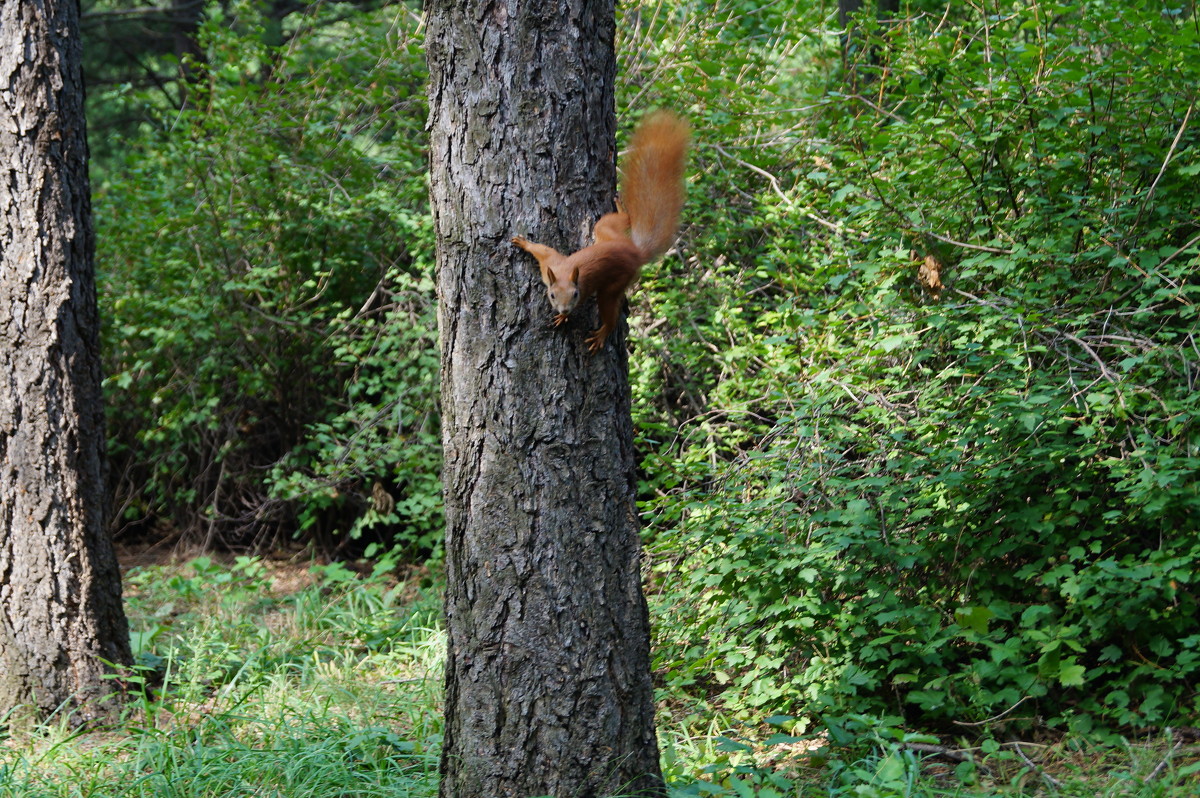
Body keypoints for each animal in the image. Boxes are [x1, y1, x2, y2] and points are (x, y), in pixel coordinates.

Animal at [511, 110, 691, 352]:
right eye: (552, 295)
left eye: (575, 294)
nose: (564, 309)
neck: (566, 273)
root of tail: (635, 252)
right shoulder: (551, 262)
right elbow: (542, 249)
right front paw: (523, 243)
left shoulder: (582, 287)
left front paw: (564, 318)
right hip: (605, 230)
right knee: (618, 222)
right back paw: (621, 208)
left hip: (614, 284)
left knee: (610, 308)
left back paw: (603, 333)